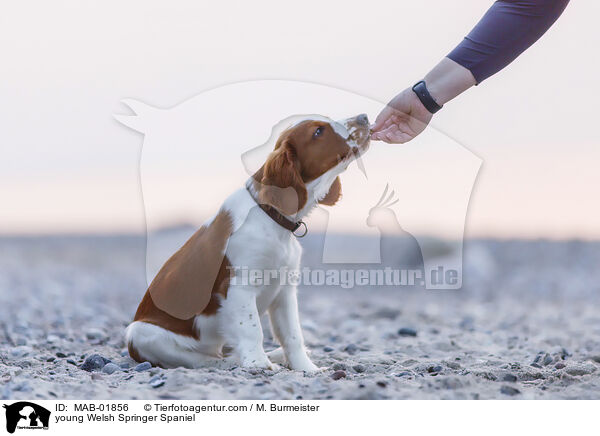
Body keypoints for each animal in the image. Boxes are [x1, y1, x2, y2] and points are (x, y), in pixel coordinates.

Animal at [126, 113, 370, 372]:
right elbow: (253, 329)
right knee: (204, 359)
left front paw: (306, 368)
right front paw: (258, 363)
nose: (364, 117)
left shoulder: (285, 290)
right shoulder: (239, 286)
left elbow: (293, 334)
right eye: (318, 132)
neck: (270, 215)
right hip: (140, 333)